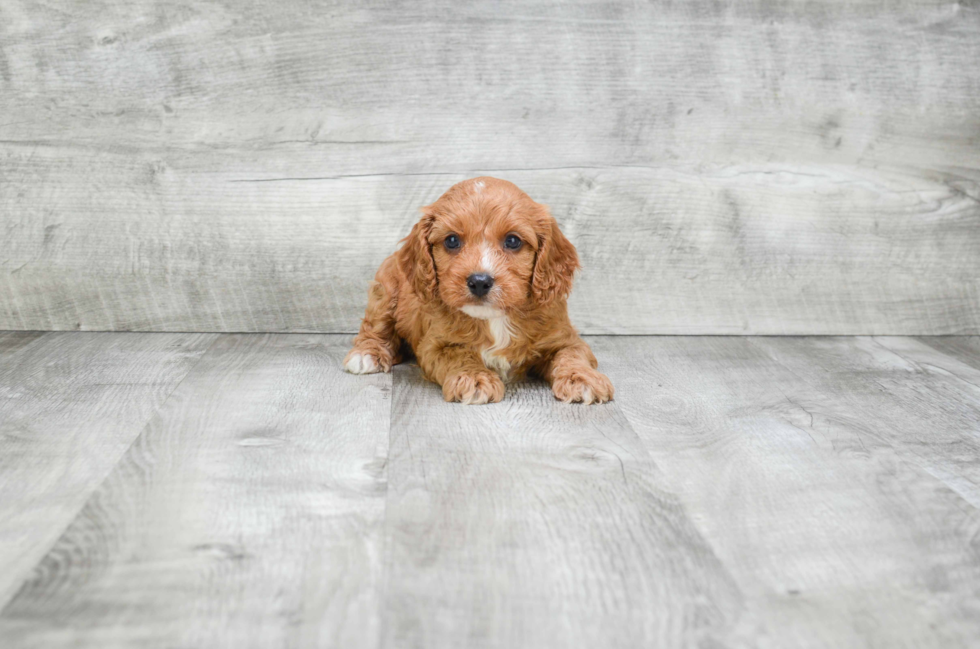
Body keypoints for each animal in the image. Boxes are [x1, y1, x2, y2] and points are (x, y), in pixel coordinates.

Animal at [344, 175, 612, 402]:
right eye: (452, 240)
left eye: (513, 241)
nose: (480, 281)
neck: (495, 319)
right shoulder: (436, 345)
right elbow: (459, 355)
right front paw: (474, 378)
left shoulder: (564, 337)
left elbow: (572, 355)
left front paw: (583, 379)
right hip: (385, 290)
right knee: (375, 328)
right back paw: (367, 355)